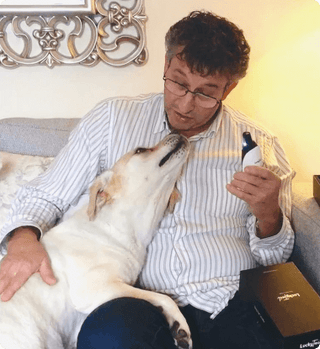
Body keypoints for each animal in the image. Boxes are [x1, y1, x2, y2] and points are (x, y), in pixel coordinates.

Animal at [0, 133, 191, 348]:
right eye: (140, 150)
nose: (177, 133)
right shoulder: (94, 289)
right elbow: (164, 298)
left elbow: (158, 297)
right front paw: (181, 324)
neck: (115, 226)